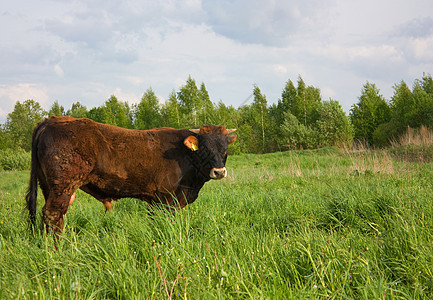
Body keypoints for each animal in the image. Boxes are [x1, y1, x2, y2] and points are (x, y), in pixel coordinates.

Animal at [25, 116, 236, 233]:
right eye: (205, 147)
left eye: (225, 148)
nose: (219, 171)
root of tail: (51, 120)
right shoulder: (168, 199)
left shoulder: (155, 201)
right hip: (63, 186)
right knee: (52, 214)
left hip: (48, 186)